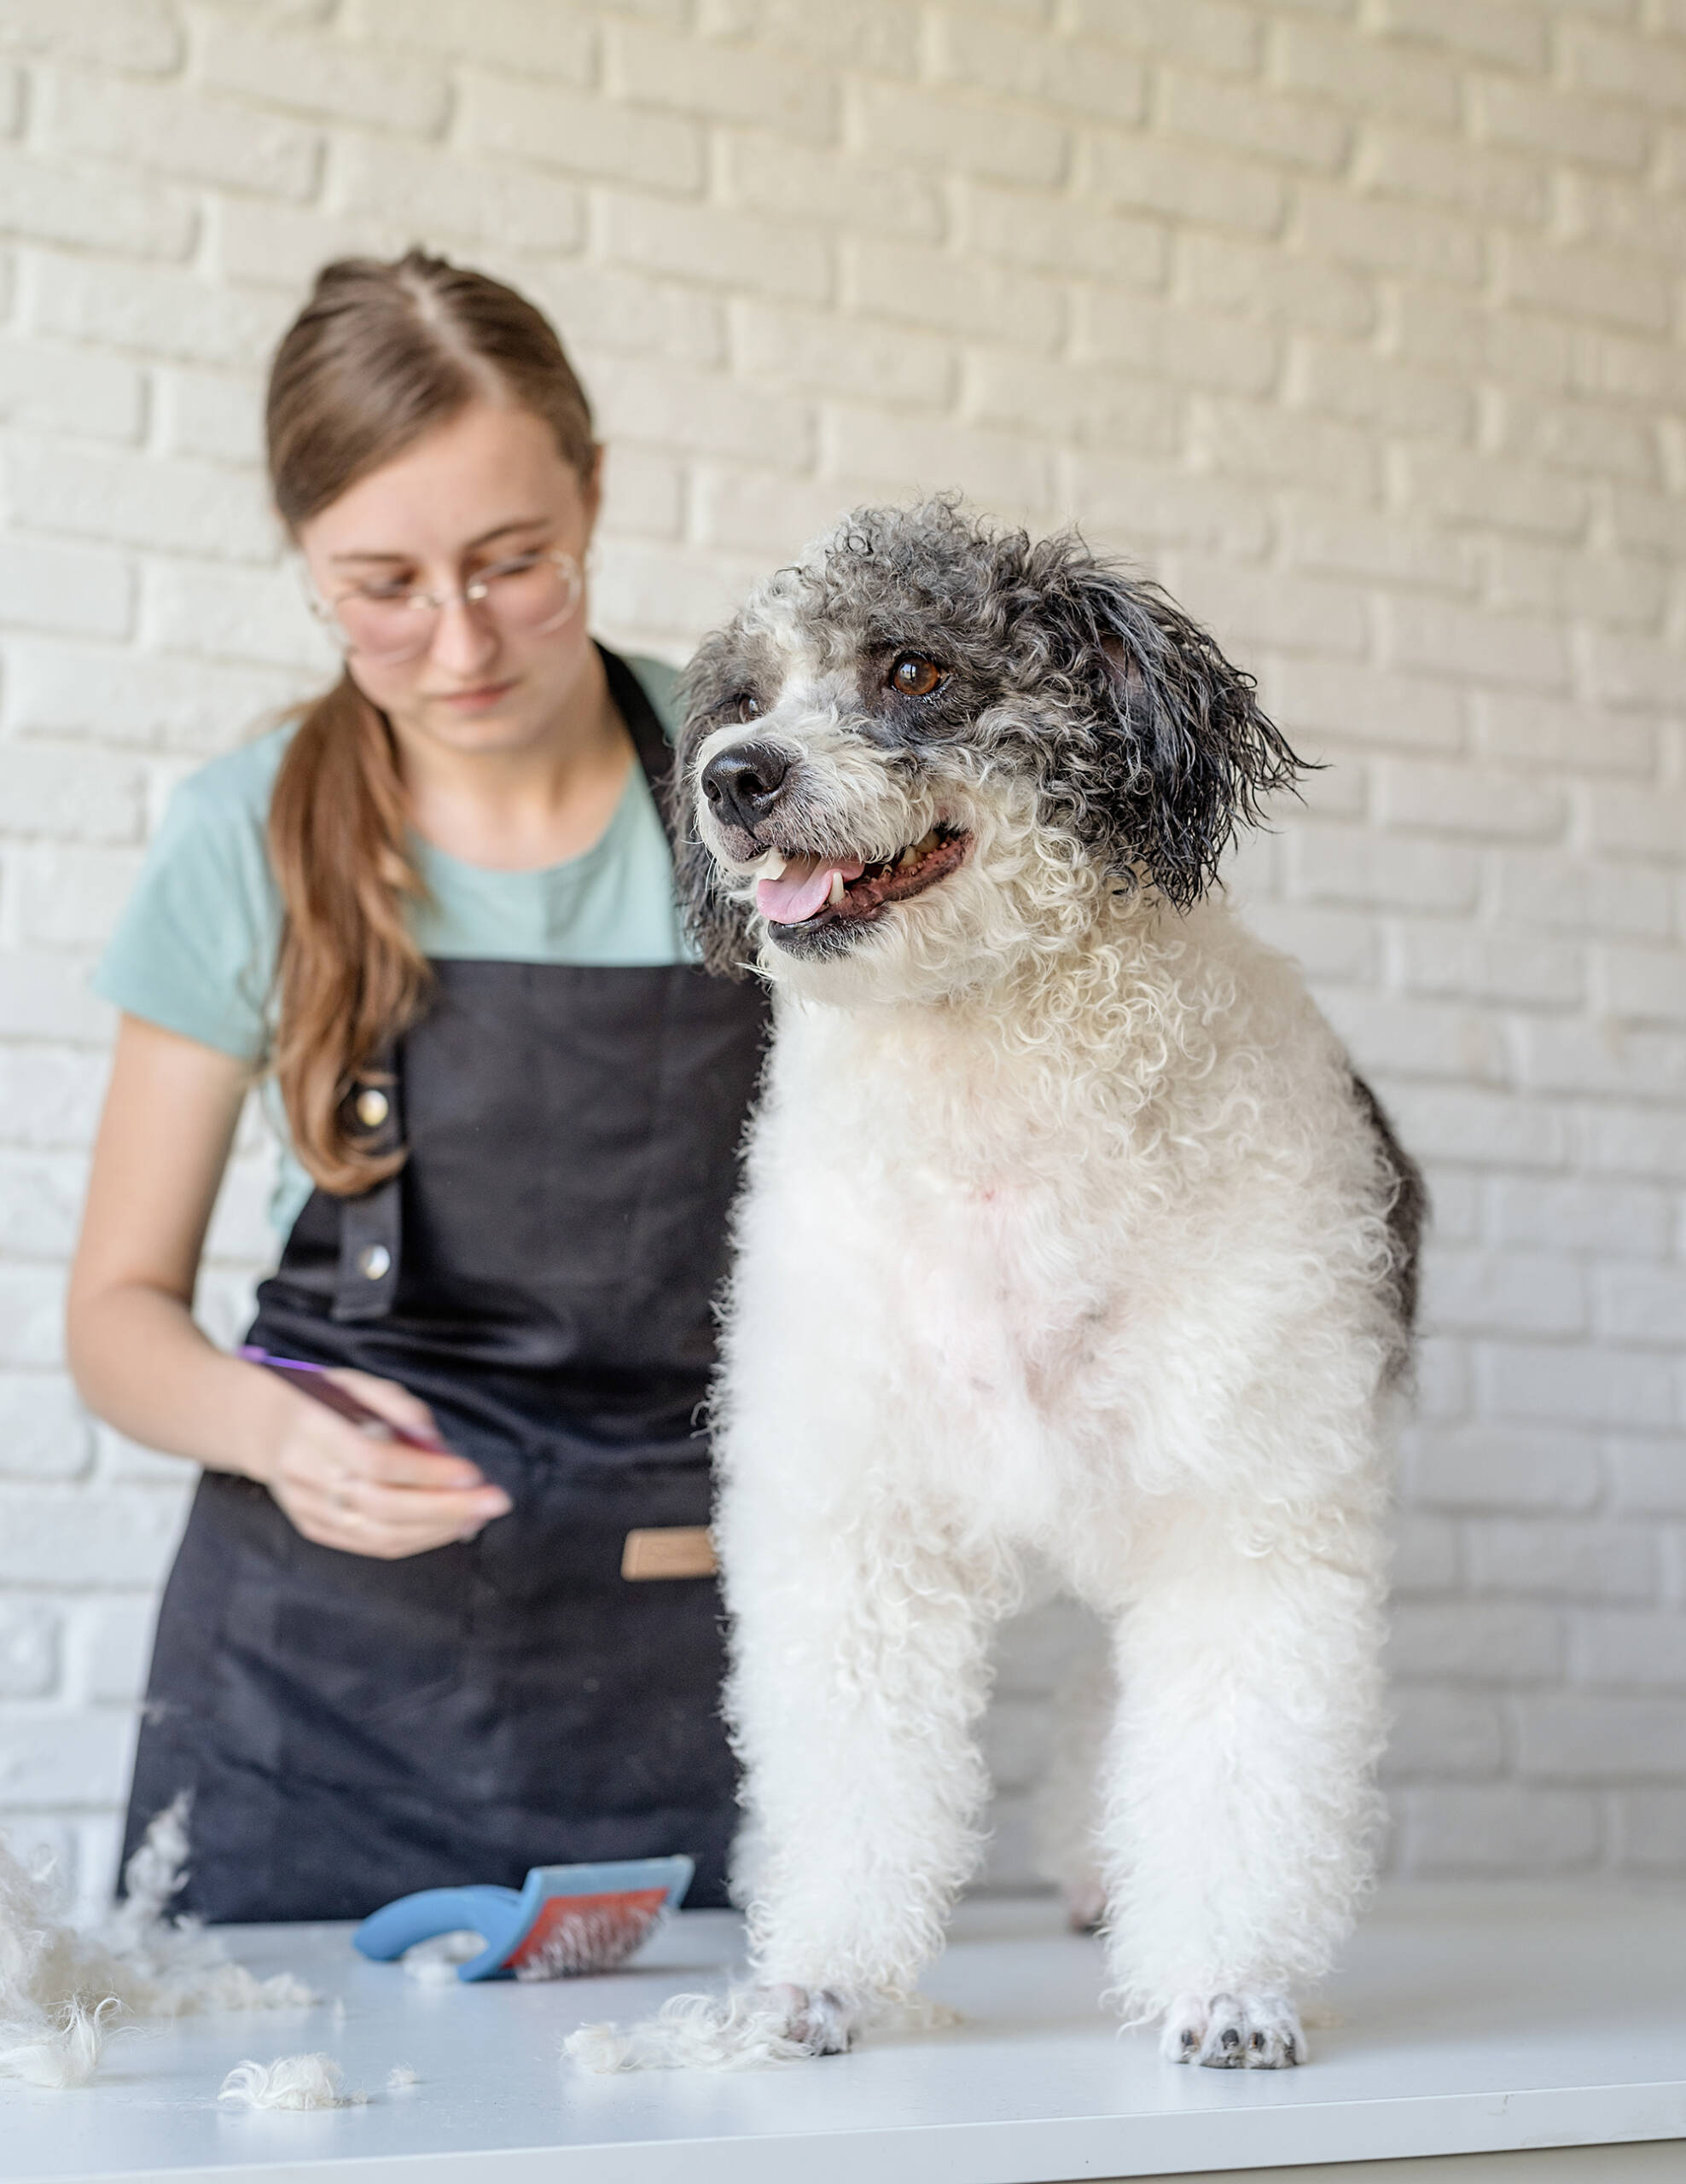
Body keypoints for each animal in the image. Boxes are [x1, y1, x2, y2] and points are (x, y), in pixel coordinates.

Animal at [567, 500, 1423, 2079]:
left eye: (911, 667)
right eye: (742, 697)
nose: (733, 778)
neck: (998, 1114)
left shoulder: (1247, 1521)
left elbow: (1236, 1771)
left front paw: (1229, 1988)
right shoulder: (857, 1526)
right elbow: (851, 1777)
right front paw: (819, 1983)